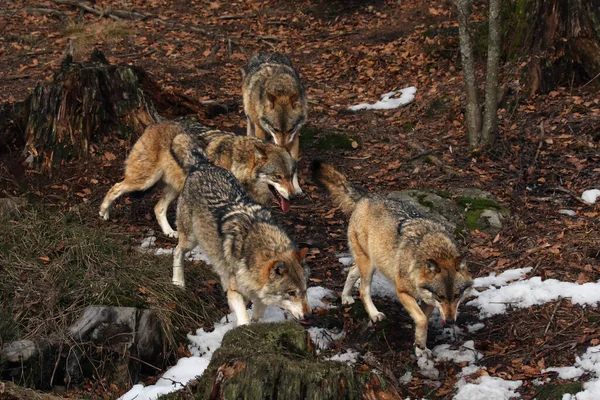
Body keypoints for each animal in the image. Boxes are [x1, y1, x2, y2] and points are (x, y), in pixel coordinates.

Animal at [101, 119, 304, 238]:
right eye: (277, 177)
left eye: (290, 176)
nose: (294, 197)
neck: (239, 166)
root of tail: (153, 124)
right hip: (144, 181)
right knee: (115, 187)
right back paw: (103, 212)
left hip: (175, 188)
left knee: (158, 208)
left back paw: (169, 232)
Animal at [169, 138, 310, 324]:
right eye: (291, 293)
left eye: (305, 290)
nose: (309, 315)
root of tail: (203, 165)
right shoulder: (235, 291)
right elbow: (244, 316)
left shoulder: (256, 291)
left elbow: (258, 309)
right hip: (190, 240)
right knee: (177, 251)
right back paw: (178, 282)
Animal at [310, 161, 474, 352]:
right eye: (440, 297)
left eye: (457, 296)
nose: (450, 321)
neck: (434, 251)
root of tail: (368, 197)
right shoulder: (402, 292)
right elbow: (422, 320)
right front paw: (420, 345)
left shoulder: (427, 301)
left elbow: (423, 320)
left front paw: (420, 346)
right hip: (369, 265)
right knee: (363, 290)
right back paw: (374, 314)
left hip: (369, 261)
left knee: (351, 270)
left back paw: (345, 298)